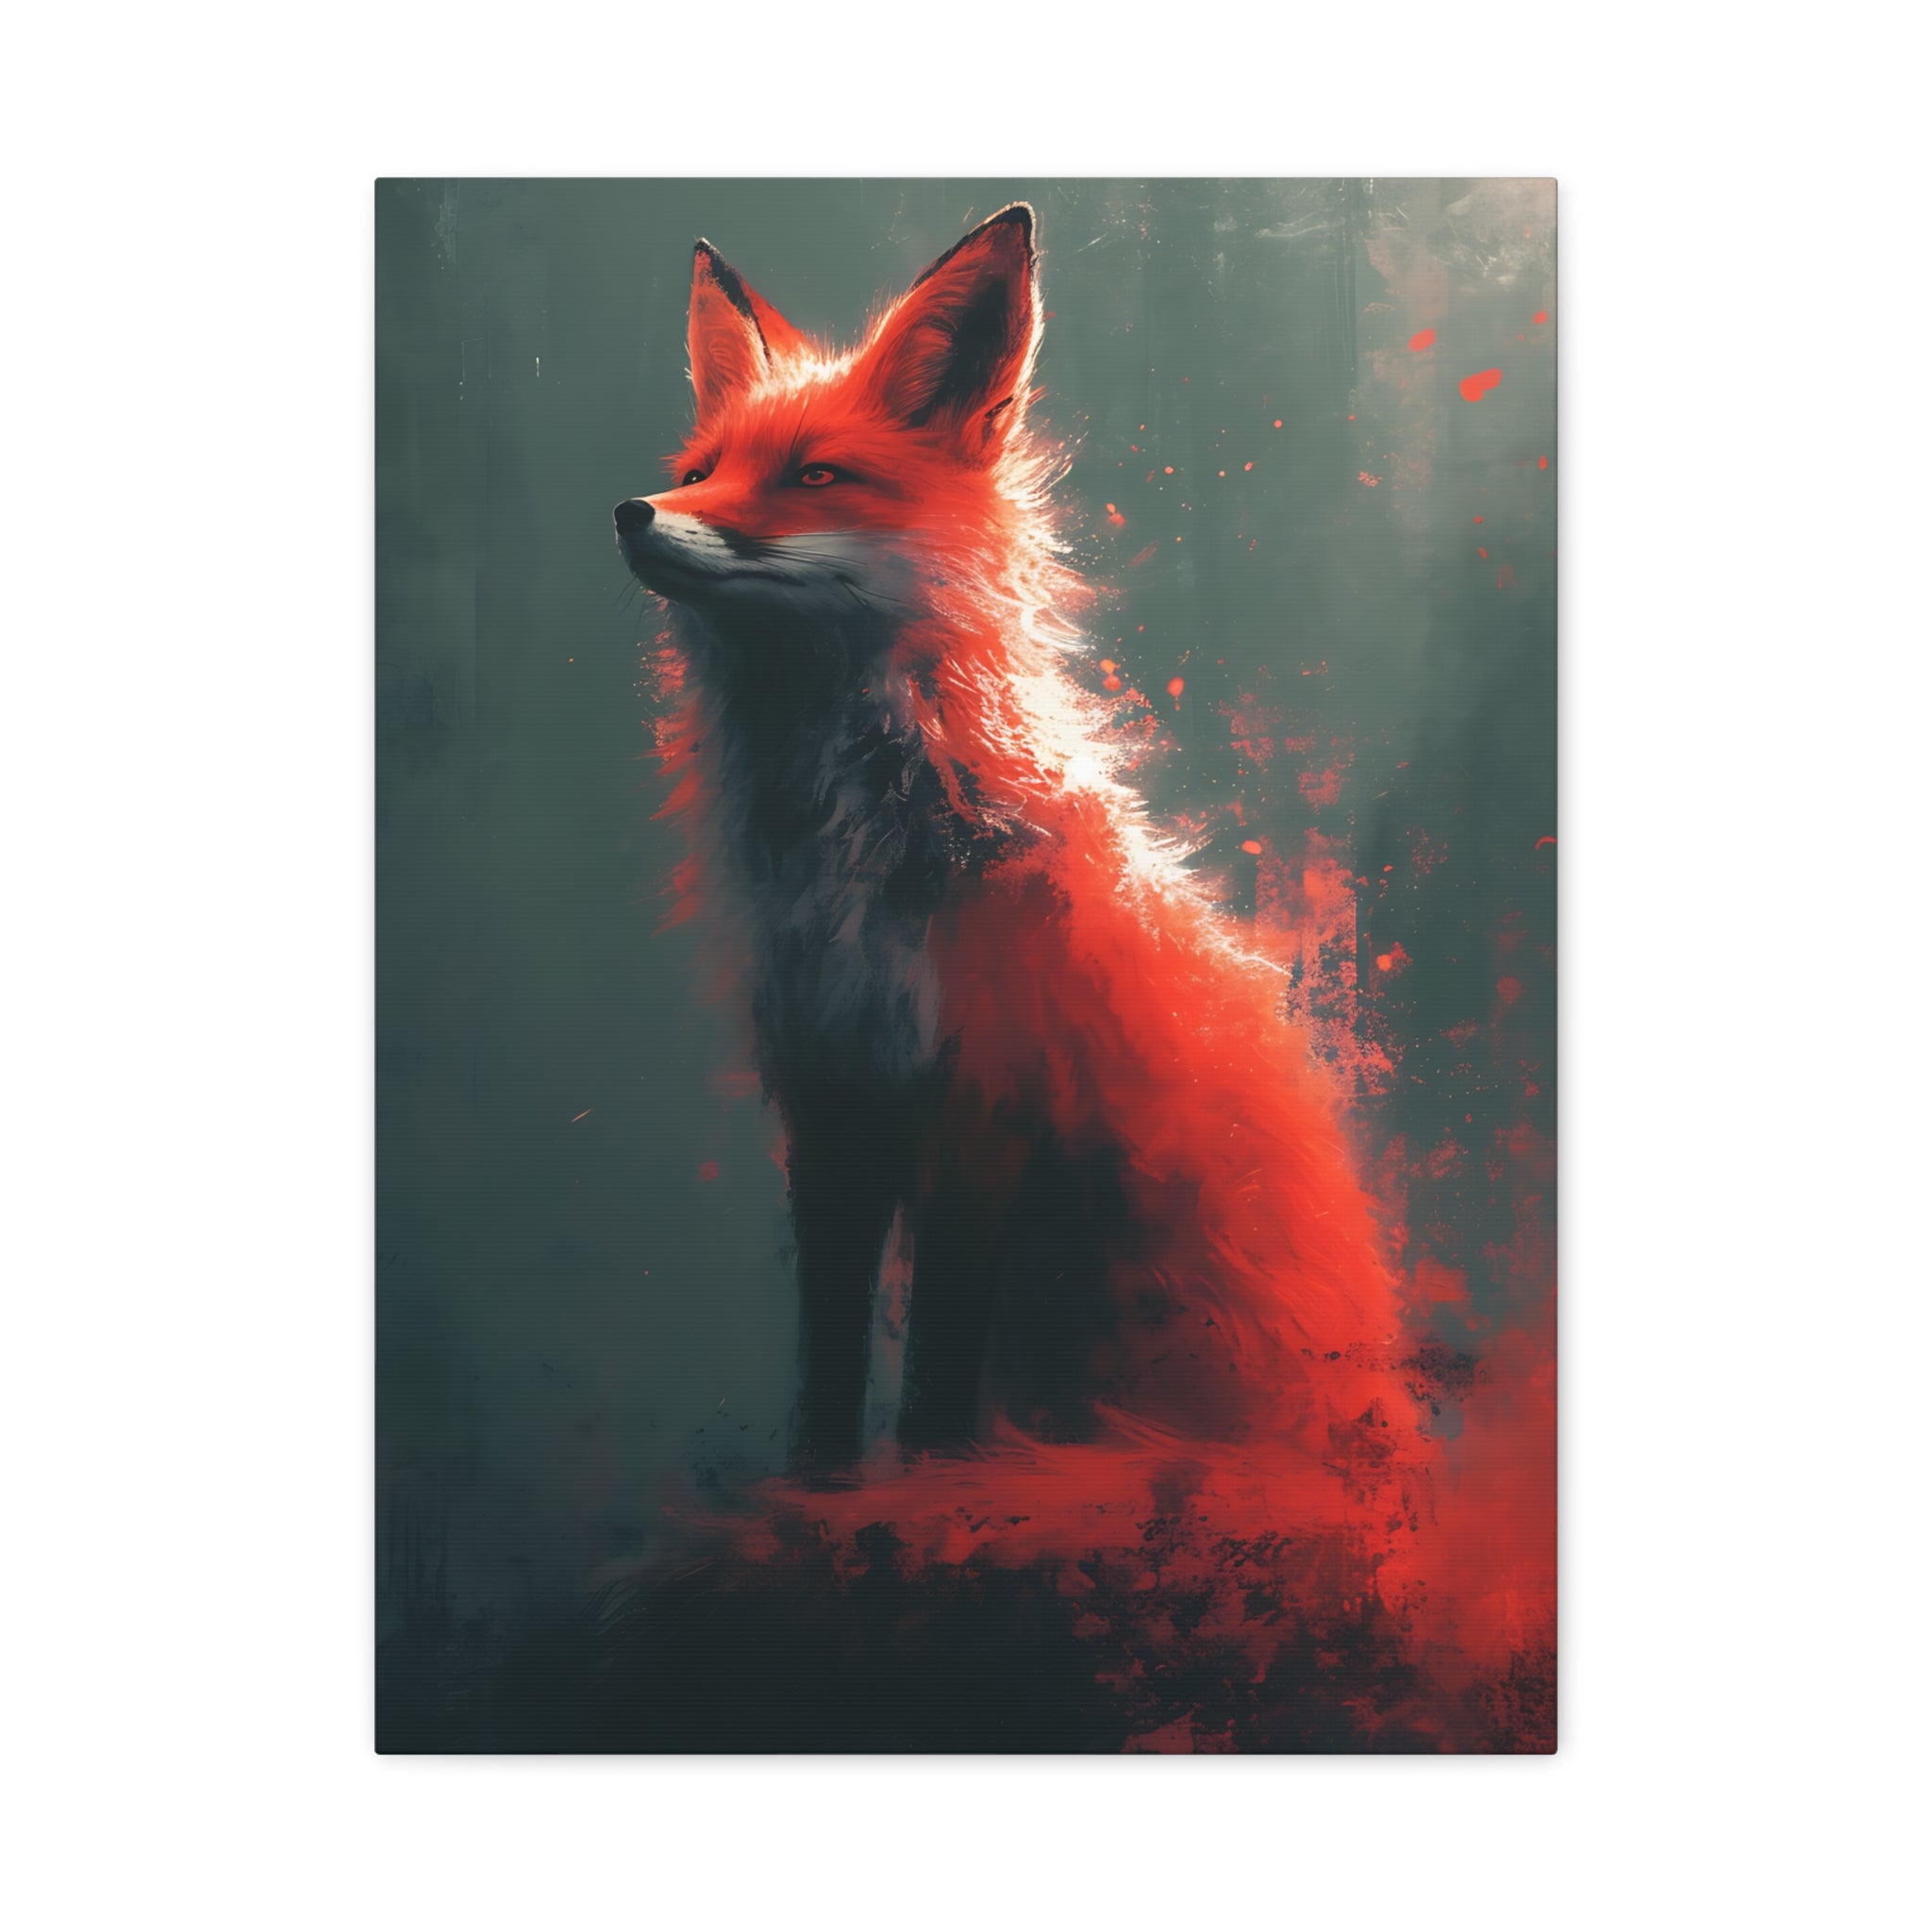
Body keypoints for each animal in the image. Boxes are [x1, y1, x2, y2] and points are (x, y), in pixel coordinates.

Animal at [616, 205, 1421, 1486]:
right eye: (701, 472)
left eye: (814, 476)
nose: (633, 512)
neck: (854, 855)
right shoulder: (828, 1092)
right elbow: (828, 1345)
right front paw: (819, 1482)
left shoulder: (985, 1097)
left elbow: (939, 1354)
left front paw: (930, 1479)